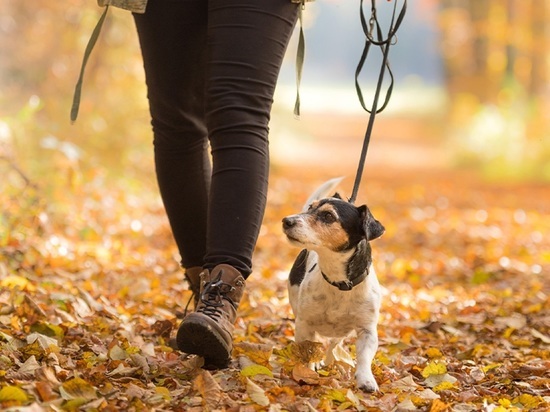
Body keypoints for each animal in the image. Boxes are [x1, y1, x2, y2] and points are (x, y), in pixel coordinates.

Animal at [282, 179, 386, 392]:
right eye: (310, 208)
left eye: (328, 216)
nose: (286, 220)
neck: (339, 284)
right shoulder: (304, 324)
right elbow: (308, 350)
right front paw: (307, 372)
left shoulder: (367, 330)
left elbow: (364, 357)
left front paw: (366, 379)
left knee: (335, 343)